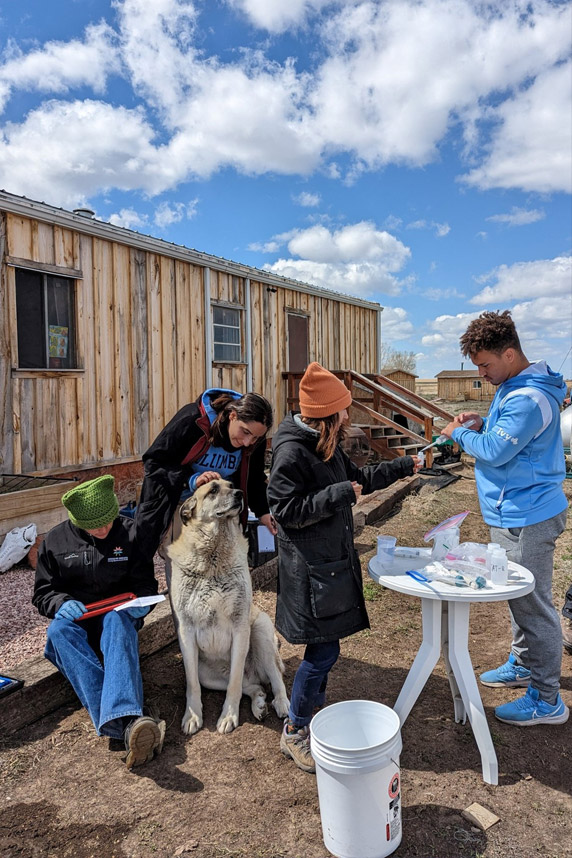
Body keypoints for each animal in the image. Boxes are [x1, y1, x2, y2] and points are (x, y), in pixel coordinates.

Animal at [168, 478, 288, 732]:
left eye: (230, 484)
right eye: (213, 489)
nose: (240, 493)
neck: (213, 553)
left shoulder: (240, 627)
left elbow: (234, 683)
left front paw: (228, 716)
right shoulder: (186, 631)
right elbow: (192, 685)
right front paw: (192, 715)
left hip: (261, 633)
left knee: (274, 679)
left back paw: (282, 704)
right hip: (207, 674)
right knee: (253, 686)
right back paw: (259, 704)